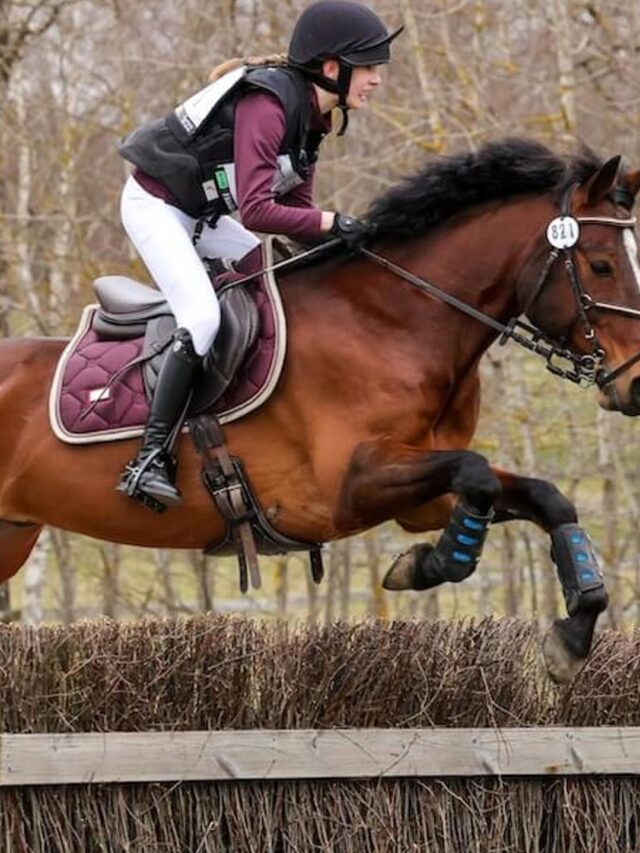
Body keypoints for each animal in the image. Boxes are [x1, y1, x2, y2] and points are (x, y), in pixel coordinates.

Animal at [1, 137, 640, 683]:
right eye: (603, 265)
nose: (634, 386)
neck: (394, 319)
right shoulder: (352, 485)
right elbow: (477, 473)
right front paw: (431, 565)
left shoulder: (423, 499)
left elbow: (545, 498)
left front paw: (572, 635)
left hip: (13, 536)